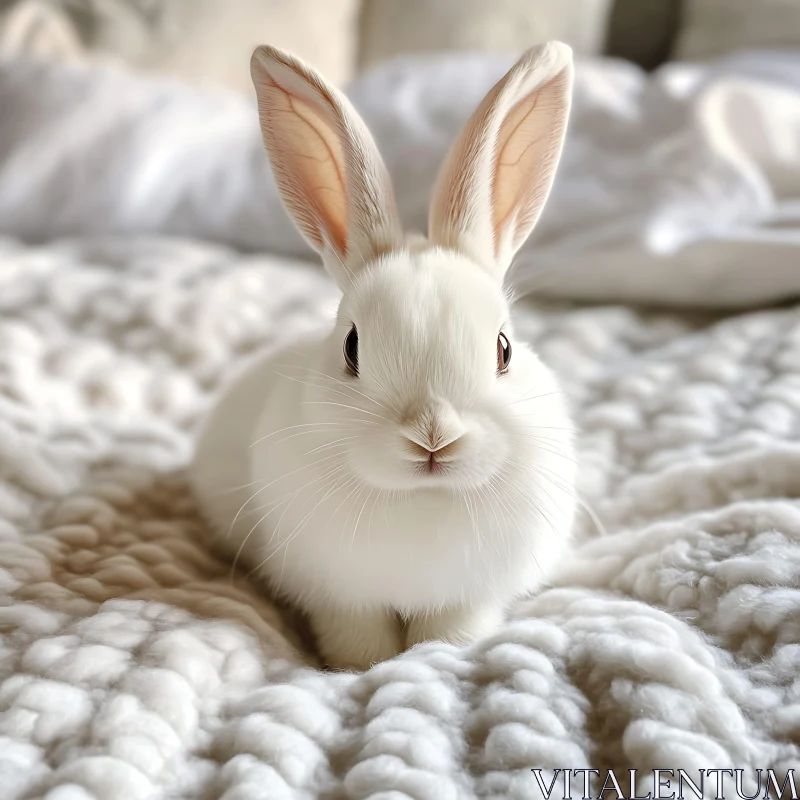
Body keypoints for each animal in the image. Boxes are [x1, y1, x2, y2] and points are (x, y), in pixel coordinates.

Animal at [192, 42, 580, 668]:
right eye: (352, 348)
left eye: (503, 349)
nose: (433, 437)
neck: (420, 499)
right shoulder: (340, 599)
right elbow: (358, 637)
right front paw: (359, 668)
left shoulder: (470, 598)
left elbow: (453, 632)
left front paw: (439, 657)